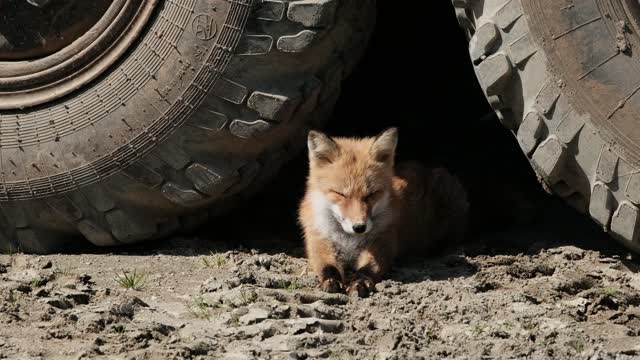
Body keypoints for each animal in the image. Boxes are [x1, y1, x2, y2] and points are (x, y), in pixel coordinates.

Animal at [298, 128, 468, 296]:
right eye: (341, 194)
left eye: (371, 194)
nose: (359, 227)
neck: (349, 240)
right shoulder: (319, 242)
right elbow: (328, 267)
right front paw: (330, 281)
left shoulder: (382, 243)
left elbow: (367, 269)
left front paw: (360, 283)